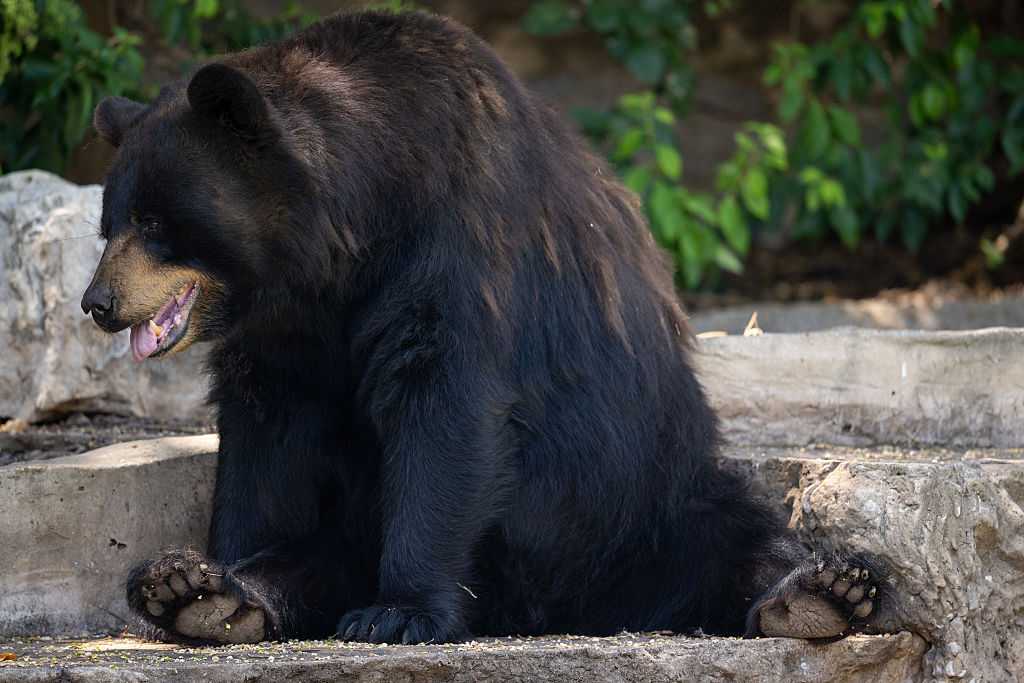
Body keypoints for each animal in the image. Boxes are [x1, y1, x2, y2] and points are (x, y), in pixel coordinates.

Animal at [80, 9, 889, 645]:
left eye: (155, 222)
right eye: (110, 222)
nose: (96, 302)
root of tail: (569, 609)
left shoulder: (455, 237)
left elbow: (446, 398)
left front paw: (400, 612)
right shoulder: (289, 331)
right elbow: (267, 441)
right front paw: (219, 570)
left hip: (644, 491)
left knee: (732, 533)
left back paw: (818, 594)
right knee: (324, 552)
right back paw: (198, 593)